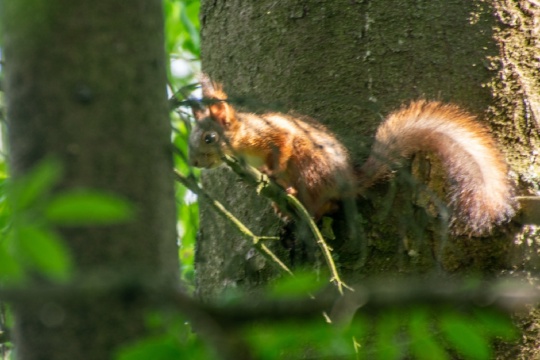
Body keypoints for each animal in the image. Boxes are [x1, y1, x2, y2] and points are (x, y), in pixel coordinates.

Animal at [188, 74, 516, 235]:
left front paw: (271, 172)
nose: (194, 163)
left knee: (319, 202)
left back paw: (294, 196)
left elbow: (284, 145)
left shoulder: (274, 134)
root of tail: (347, 180)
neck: (244, 141)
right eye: (191, 140)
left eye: (209, 138)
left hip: (311, 168)